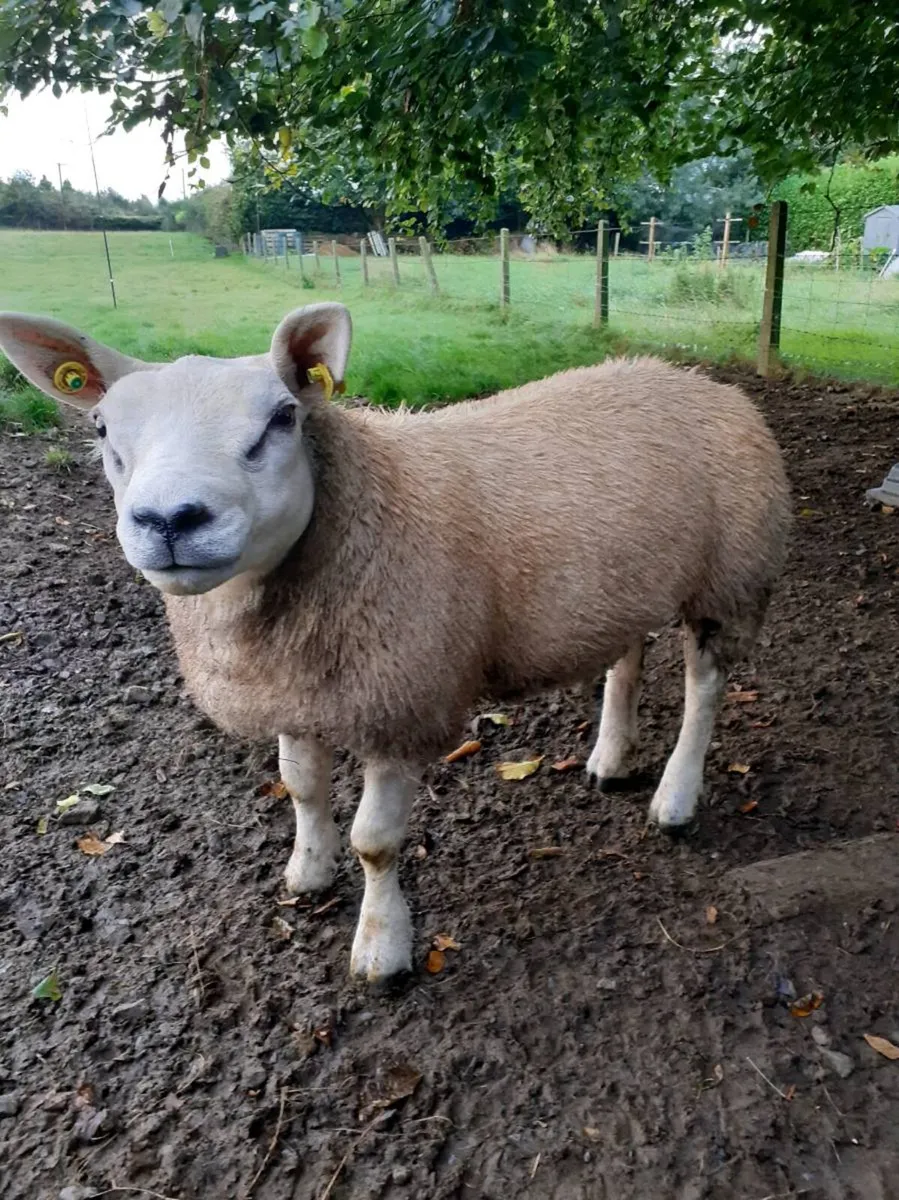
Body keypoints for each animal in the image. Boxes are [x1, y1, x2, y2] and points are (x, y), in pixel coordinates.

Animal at [0, 303, 791, 982]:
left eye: (283, 417)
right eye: (101, 429)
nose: (170, 520)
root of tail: (692, 377)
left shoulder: (400, 704)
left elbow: (374, 843)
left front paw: (382, 947)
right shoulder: (297, 691)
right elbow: (301, 787)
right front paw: (307, 872)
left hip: (730, 579)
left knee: (703, 692)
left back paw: (675, 798)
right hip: (627, 580)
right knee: (626, 656)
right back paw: (610, 758)